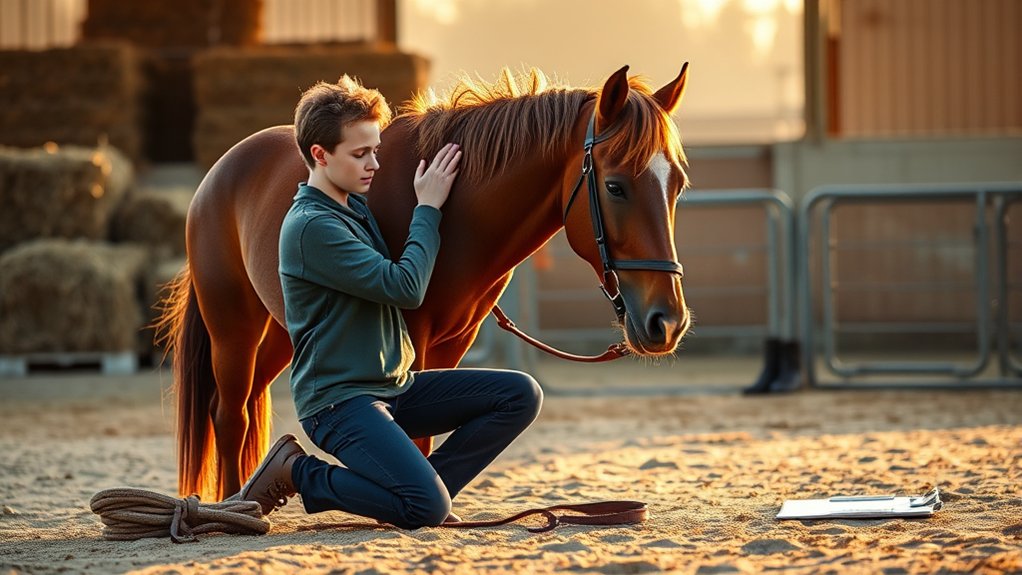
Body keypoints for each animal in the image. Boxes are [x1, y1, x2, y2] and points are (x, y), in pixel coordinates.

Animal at [157, 64, 693, 501]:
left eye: (678, 186)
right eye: (615, 186)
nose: (666, 322)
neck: (458, 211)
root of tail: (219, 172)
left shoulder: (452, 343)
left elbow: (427, 434)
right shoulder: (410, 338)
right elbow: (411, 439)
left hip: (284, 335)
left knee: (250, 405)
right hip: (233, 328)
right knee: (230, 414)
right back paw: (235, 502)